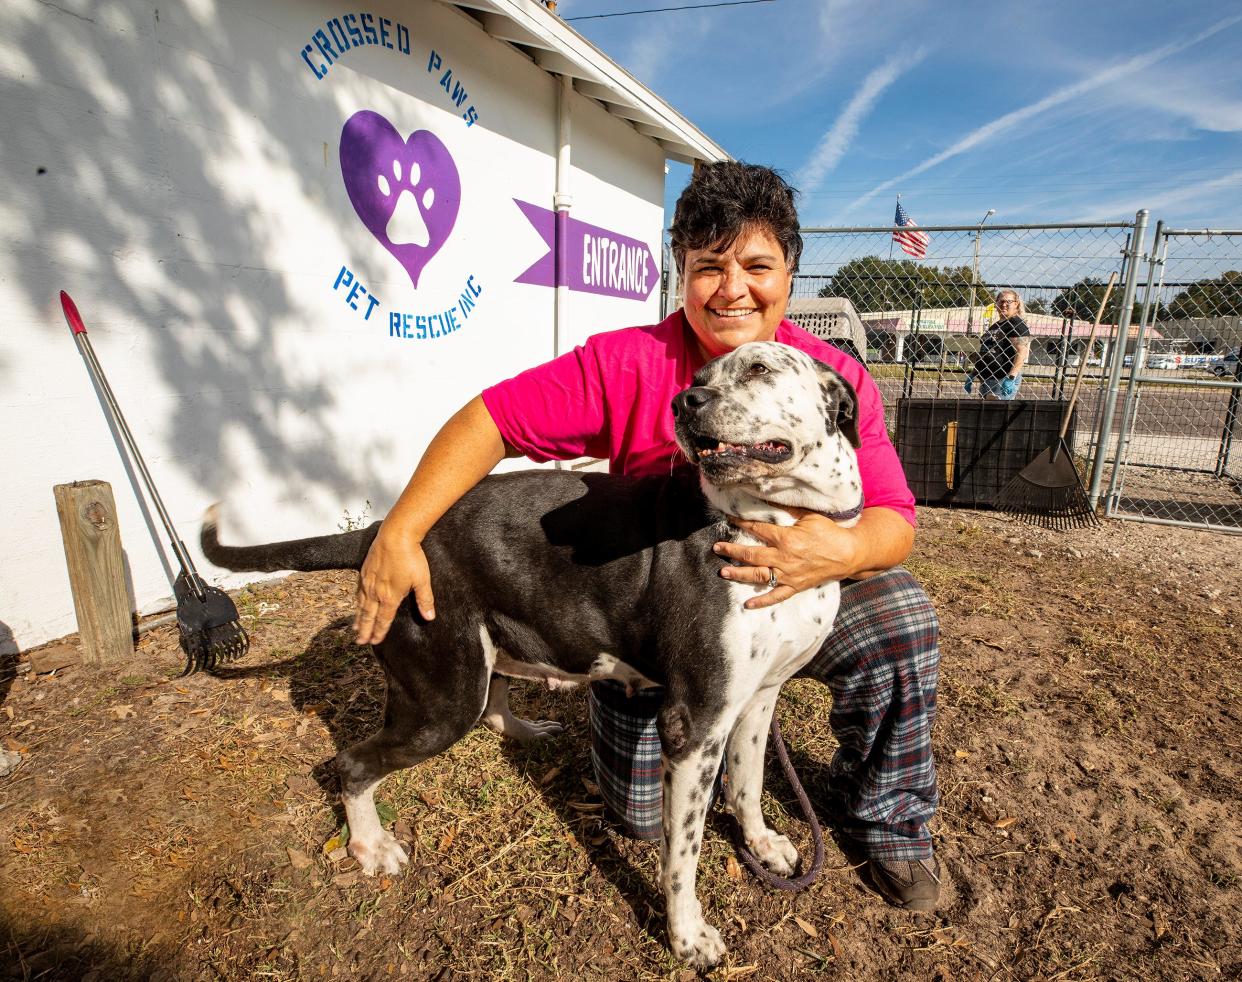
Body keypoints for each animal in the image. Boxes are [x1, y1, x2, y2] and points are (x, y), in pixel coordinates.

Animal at [201, 342, 864, 973]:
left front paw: (762, 845)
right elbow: (683, 854)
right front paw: (687, 937)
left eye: (758, 369)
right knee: (352, 762)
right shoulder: (693, 726)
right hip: (443, 699)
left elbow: (748, 784)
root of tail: (380, 533)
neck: (778, 520)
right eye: (698, 377)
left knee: (493, 703)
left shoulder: (756, 701)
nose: (685, 402)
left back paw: (524, 730)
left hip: (479, 656)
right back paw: (370, 847)